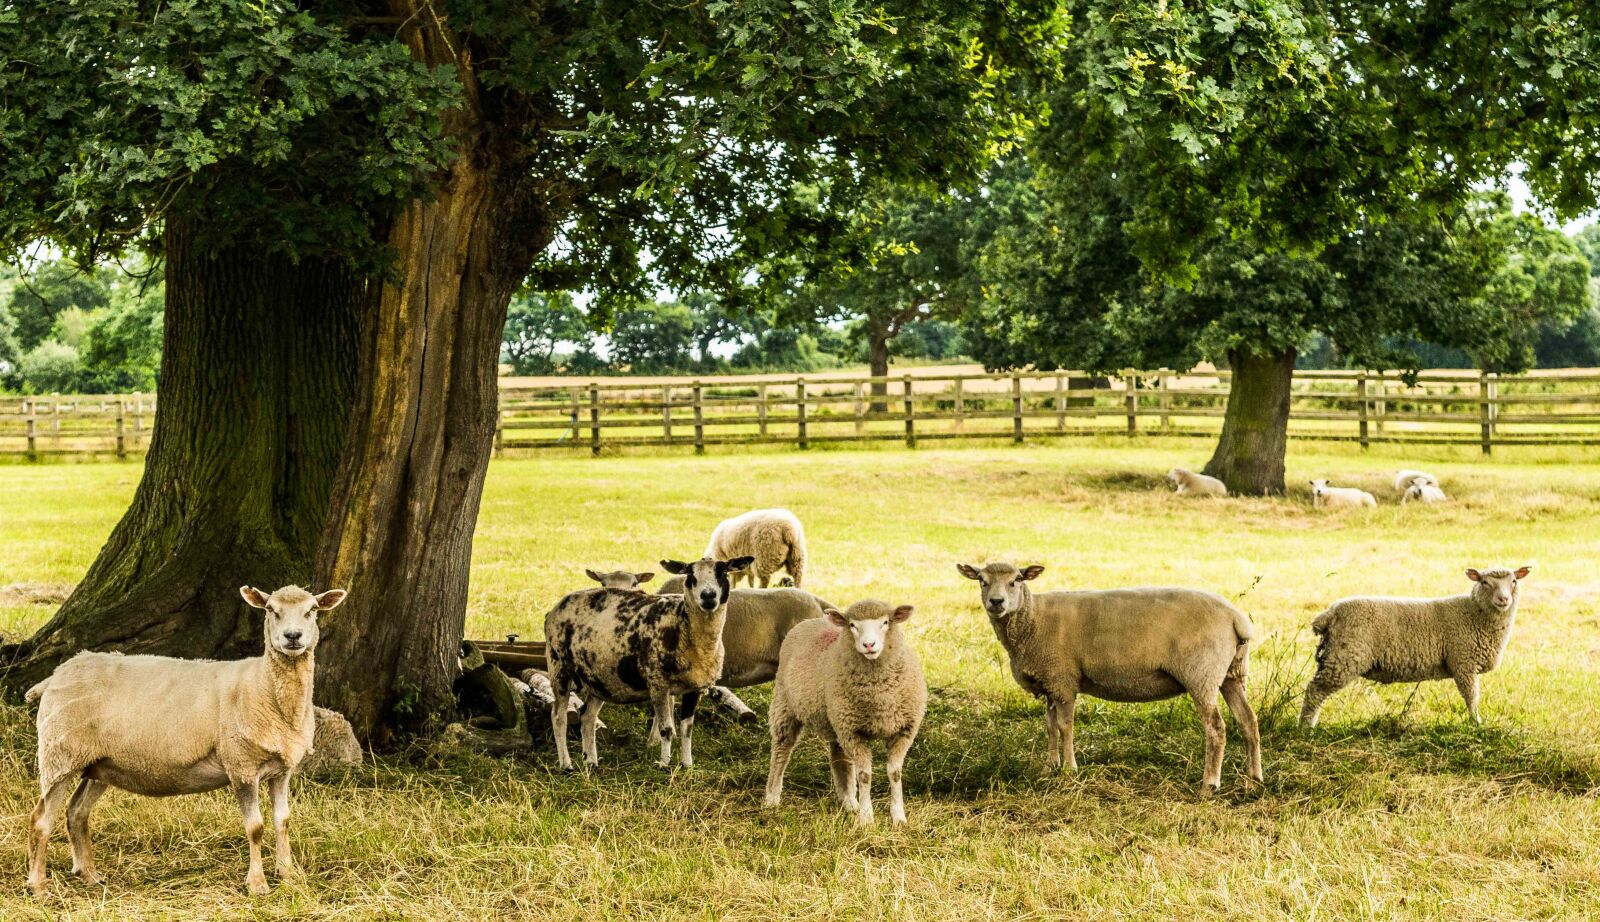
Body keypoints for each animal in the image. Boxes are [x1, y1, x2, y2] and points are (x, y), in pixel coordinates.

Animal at [25, 584, 347, 897]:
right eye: (270, 609)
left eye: (312, 610)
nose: (293, 637)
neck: (264, 685)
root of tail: (55, 675)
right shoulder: (241, 766)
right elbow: (255, 827)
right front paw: (257, 884)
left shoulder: (281, 770)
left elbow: (283, 822)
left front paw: (289, 876)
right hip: (59, 753)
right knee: (41, 819)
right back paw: (38, 887)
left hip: (99, 763)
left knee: (76, 811)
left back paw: (89, 875)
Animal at [545, 555, 753, 770]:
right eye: (690, 575)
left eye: (723, 572)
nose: (708, 596)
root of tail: (556, 607)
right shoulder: (658, 683)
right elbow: (666, 728)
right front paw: (664, 764)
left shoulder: (695, 687)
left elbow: (687, 728)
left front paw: (687, 765)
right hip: (559, 666)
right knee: (558, 717)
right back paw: (566, 765)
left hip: (599, 678)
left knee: (587, 717)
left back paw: (591, 762)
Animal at [764, 600, 926, 825]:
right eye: (852, 625)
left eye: (886, 622)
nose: (869, 645)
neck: (880, 697)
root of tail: (811, 620)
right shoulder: (853, 732)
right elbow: (864, 775)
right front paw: (867, 819)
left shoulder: (903, 731)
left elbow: (895, 773)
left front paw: (898, 817)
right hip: (785, 705)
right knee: (781, 750)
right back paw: (771, 798)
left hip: (837, 720)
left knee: (839, 757)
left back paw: (849, 801)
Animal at [957, 562, 1261, 792]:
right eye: (982, 580)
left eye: (1017, 580)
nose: (996, 602)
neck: (1034, 619)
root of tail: (1235, 617)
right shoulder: (1051, 682)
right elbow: (1050, 727)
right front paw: (1048, 768)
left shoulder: (1063, 681)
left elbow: (1065, 727)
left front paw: (1069, 770)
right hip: (1232, 674)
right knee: (1248, 721)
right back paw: (1254, 777)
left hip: (1201, 674)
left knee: (1216, 728)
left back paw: (1209, 784)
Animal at [1300, 566, 1531, 727]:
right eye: (1484, 582)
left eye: (1513, 581)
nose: (1504, 599)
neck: (1474, 613)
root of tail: (1330, 613)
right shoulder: (1463, 662)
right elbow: (1472, 697)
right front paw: (1476, 723)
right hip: (1345, 657)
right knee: (1315, 691)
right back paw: (1306, 728)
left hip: (1335, 655)